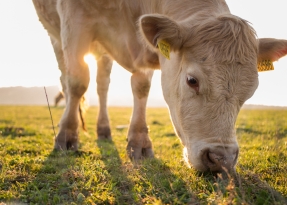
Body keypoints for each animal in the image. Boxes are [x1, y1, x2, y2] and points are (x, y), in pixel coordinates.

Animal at [31, 0, 287, 172]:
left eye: (250, 92)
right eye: (192, 80)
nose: (221, 159)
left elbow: (141, 87)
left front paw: (139, 142)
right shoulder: (73, 18)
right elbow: (77, 82)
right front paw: (66, 136)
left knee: (103, 84)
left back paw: (104, 129)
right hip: (56, 34)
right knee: (67, 78)